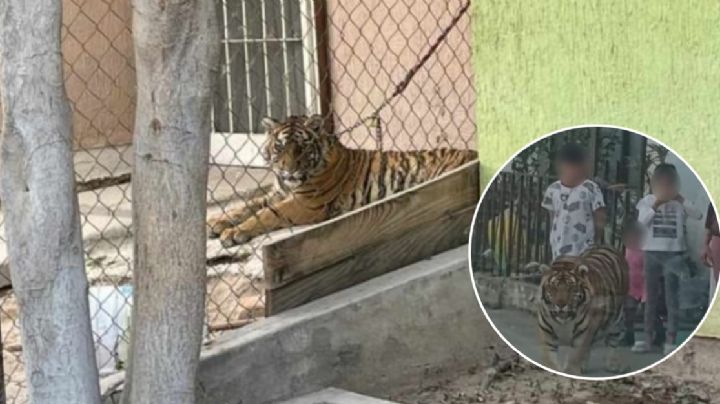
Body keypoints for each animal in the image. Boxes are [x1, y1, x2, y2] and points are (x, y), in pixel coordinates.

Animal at [208, 114, 477, 247]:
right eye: (280, 146)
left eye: (301, 148)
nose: (289, 170)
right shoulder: (279, 193)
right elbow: (245, 205)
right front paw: (215, 222)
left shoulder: (305, 204)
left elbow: (264, 215)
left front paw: (233, 233)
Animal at [536, 245, 629, 375]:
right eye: (553, 287)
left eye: (571, 288)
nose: (561, 305)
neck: (564, 322)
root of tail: (606, 246)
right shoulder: (547, 333)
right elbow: (549, 359)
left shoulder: (583, 334)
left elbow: (575, 356)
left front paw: (571, 372)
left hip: (616, 321)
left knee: (613, 340)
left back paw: (612, 364)